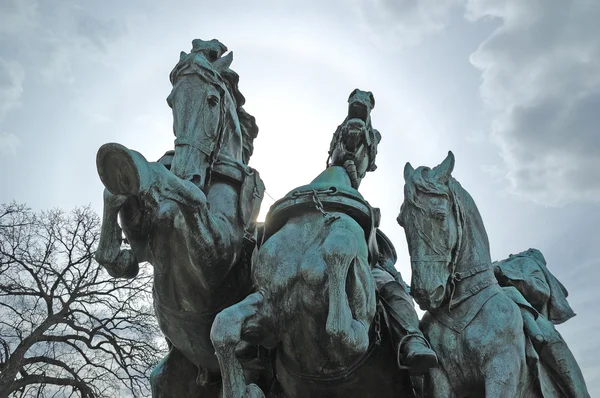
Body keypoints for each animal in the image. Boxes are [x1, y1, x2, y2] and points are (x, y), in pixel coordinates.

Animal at [93, 38, 264, 396]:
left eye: (212, 100)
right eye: (171, 102)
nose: (189, 172)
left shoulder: (215, 262)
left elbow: (190, 196)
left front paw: (140, 167)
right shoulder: (146, 242)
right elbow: (116, 195)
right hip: (172, 378)